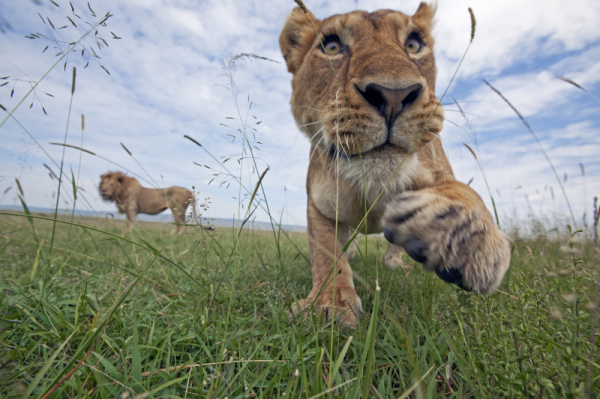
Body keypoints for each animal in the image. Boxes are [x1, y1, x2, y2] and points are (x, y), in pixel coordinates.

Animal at [280, 3, 510, 328]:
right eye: (332, 46)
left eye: (413, 44)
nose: (393, 96)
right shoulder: (319, 203)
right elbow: (326, 253)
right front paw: (329, 304)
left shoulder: (438, 170)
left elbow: (463, 191)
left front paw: (462, 238)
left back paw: (398, 259)